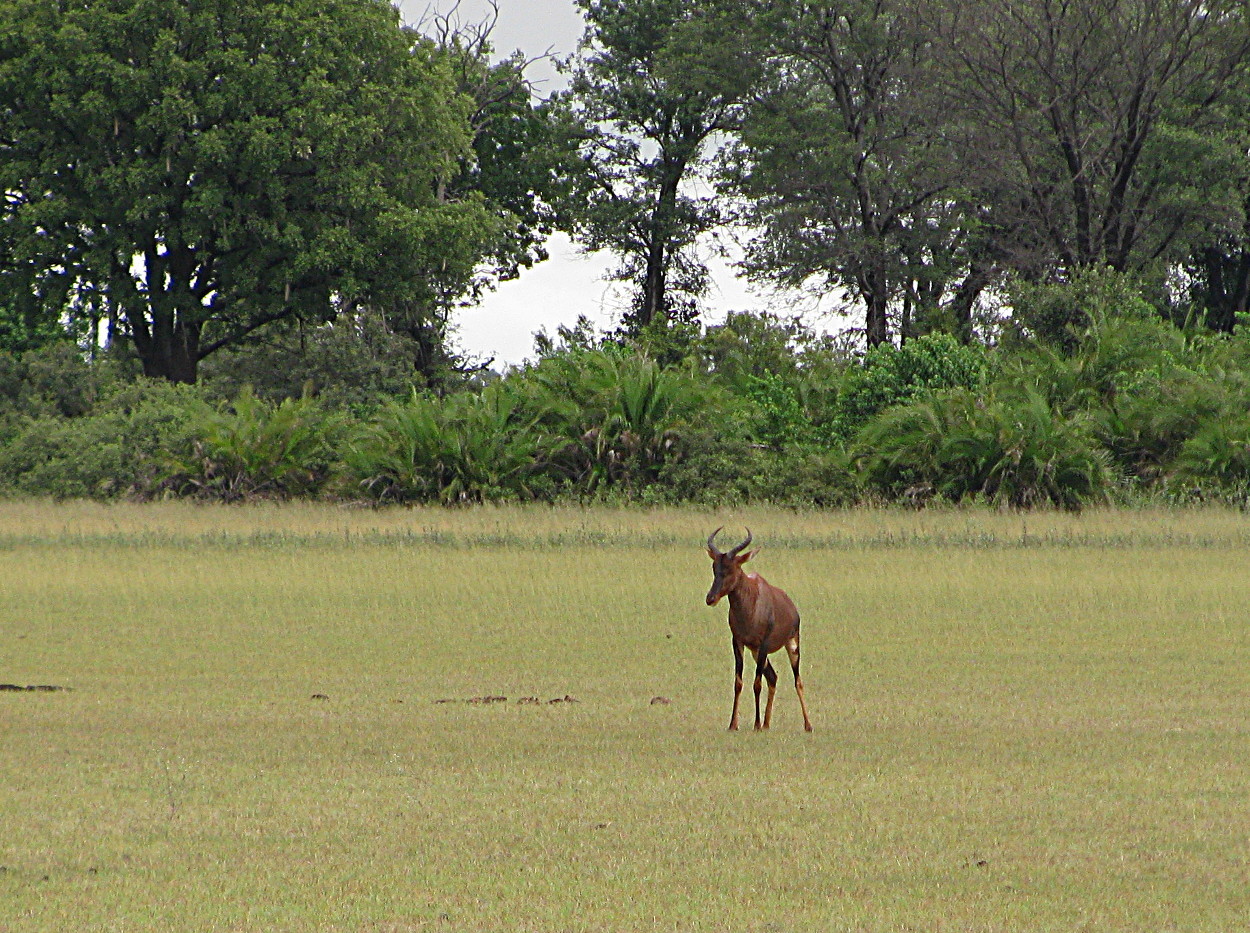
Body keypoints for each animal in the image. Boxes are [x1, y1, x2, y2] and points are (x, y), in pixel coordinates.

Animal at [705, 527, 810, 730]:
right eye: (715, 567)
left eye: (733, 568)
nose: (710, 598)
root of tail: (792, 606)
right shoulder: (738, 643)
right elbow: (738, 683)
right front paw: (733, 724)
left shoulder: (764, 644)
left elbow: (757, 683)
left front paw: (755, 724)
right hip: (755, 651)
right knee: (773, 677)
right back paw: (767, 724)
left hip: (792, 644)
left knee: (798, 681)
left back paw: (808, 725)